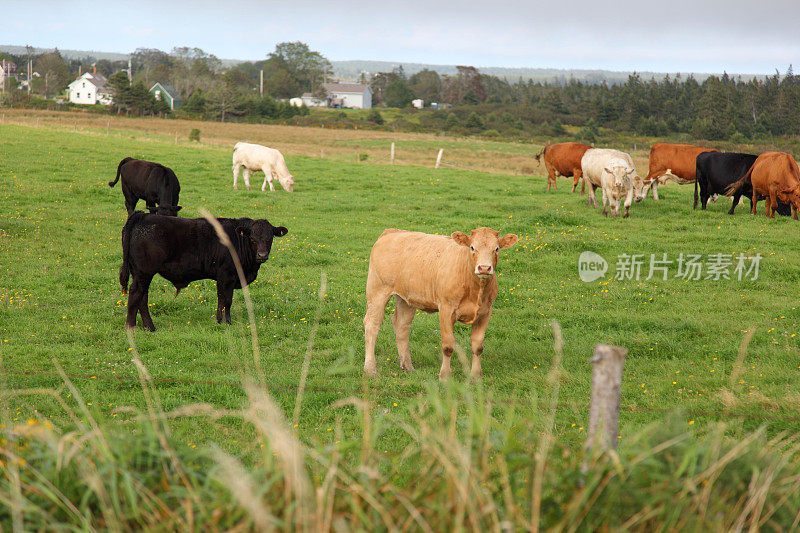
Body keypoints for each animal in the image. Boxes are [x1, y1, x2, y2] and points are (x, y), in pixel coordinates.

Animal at [120, 211, 290, 328]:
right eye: (252, 239)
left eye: (270, 238)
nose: (262, 255)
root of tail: (143, 215)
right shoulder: (227, 275)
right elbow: (227, 300)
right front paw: (227, 322)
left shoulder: (224, 278)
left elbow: (221, 299)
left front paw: (219, 320)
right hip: (144, 272)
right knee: (136, 294)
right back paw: (131, 327)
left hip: (139, 273)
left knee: (143, 297)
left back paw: (149, 327)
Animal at [362, 227, 520, 380]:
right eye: (472, 247)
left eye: (496, 249)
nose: (484, 268)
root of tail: (392, 231)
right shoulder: (446, 309)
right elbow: (448, 346)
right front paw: (445, 376)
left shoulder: (486, 312)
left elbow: (477, 346)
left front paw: (476, 377)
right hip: (377, 291)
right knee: (372, 325)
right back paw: (370, 369)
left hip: (406, 298)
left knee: (402, 325)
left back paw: (407, 366)